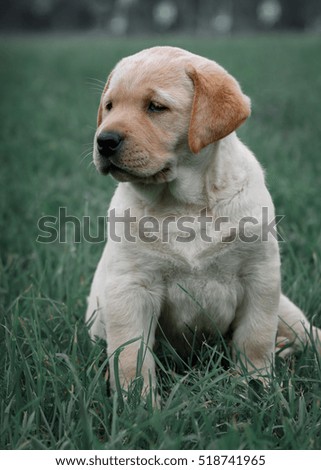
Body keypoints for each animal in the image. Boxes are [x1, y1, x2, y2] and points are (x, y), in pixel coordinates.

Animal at [85, 46, 320, 392]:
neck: (184, 205)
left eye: (156, 107)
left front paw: (255, 386)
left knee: (307, 335)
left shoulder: (260, 277)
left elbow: (255, 338)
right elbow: (130, 356)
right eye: (110, 106)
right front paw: (135, 401)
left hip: (287, 311)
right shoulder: (130, 286)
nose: (104, 141)